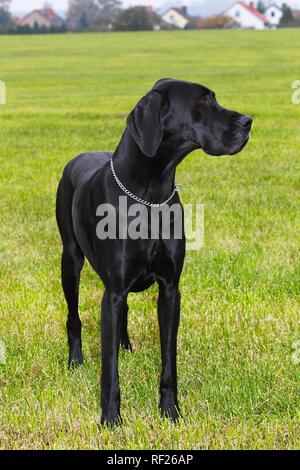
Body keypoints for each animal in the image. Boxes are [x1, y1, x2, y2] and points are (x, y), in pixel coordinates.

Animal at [55, 79, 251, 424]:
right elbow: (109, 369)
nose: (248, 122)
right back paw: (76, 360)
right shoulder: (114, 290)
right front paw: (110, 419)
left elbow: (168, 359)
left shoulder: (170, 289)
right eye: (204, 101)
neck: (150, 194)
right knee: (74, 316)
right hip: (71, 261)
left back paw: (125, 346)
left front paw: (170, 412)